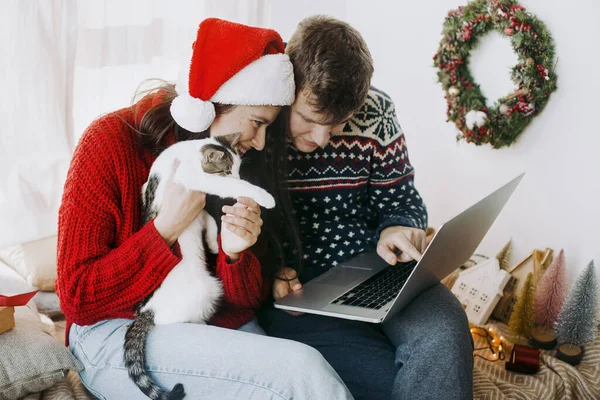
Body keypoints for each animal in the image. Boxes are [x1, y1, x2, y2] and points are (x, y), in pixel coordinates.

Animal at [126, 134, 276, 400]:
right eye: (226, 171)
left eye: (237, 169)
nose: (236, 177)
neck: (188, 151)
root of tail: (148, 310)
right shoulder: (192, 179)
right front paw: (263, 196)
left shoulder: (196, 203)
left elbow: (206, 217)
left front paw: (214, 242)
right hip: (201, 293)